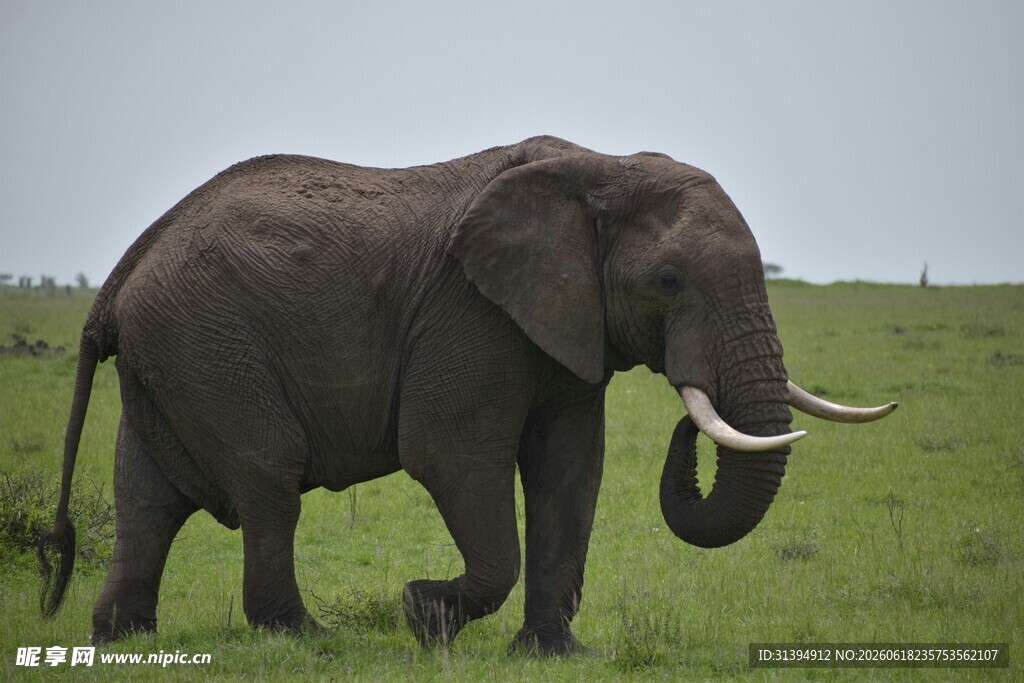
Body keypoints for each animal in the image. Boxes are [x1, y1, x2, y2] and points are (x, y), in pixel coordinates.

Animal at [38, 136, 896, 654]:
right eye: (668, 281)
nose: (690, 422)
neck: (600, 167)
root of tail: (123, 273)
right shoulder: (471, 314)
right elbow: (451, 454)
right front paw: (423, 613)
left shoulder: (563, 326)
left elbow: (569, 470)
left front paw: (553, 653)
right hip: (209, 344)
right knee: (267, 477)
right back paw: (307, 638)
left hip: (172, 355)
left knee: (148, 496)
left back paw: (123, 638)